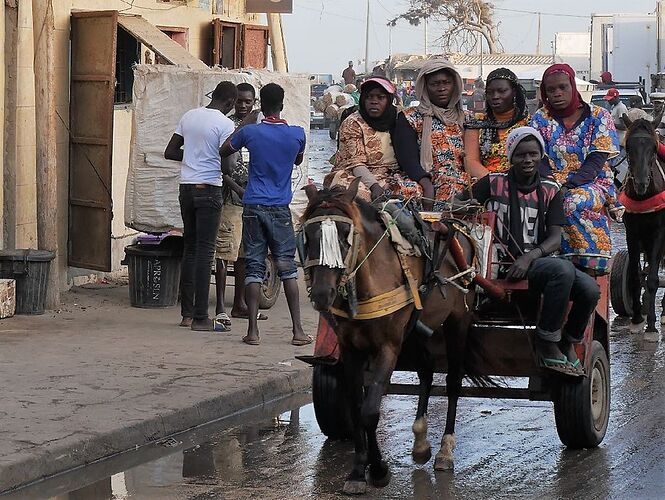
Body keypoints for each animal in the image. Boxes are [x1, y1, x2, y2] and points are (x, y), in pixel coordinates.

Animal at [300, 179, 482, 492]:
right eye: (309, 237)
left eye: (346, 235)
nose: (323, 295)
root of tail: (457, 226)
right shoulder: (350, 349)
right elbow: (356, 406)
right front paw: (357, 471)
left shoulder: (387, 347)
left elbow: (370, 411)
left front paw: (378, 470)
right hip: (418, 330)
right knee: (426, 371)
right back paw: (420, 443)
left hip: (458, 320)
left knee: (453, 381)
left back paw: (445, 450)